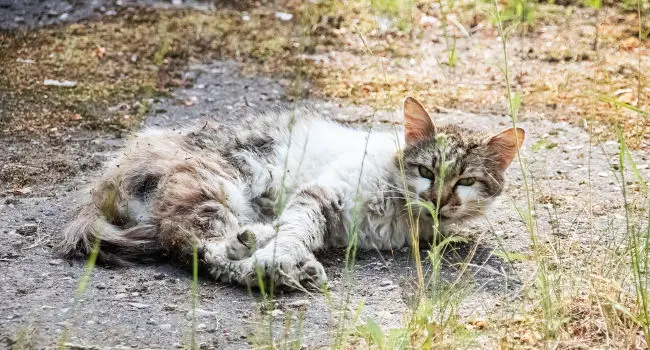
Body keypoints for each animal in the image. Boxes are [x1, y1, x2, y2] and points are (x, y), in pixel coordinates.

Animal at [58, 97, 524, 288]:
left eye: (466, 182)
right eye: (426, 171)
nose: (439, 200)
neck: (399, 211)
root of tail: (109, 171)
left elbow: (298, 231)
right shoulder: (321, 195)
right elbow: (297, 230)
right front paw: (280, 255)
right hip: (214, 185)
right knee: (198, 247)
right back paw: (271, 259)